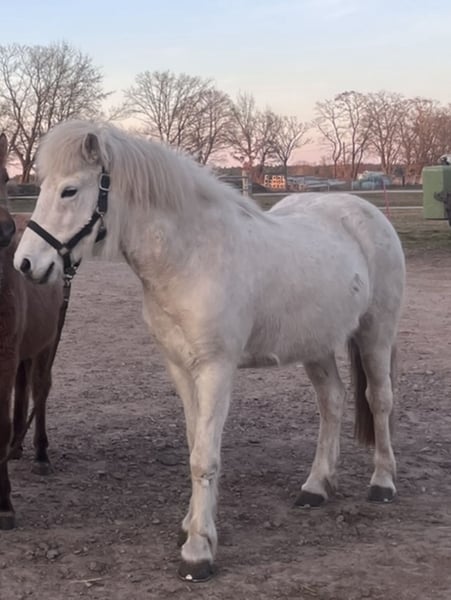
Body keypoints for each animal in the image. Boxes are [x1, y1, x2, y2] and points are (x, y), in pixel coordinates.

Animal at [14, 120, 406, 581]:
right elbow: (194, 443)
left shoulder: (216, 368)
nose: (25, 264)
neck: (191, 256)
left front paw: (198, 551)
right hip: (317, 345)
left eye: (70, 191)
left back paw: (382, 483)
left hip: (375, 332)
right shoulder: (180, 368)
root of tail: (365, 212)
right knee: (332, 402)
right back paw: (316, 486)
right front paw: (192, 526)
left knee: (379, 400)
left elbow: (205, 457)